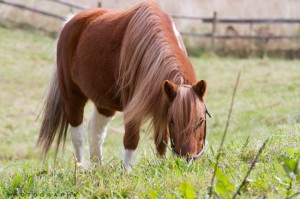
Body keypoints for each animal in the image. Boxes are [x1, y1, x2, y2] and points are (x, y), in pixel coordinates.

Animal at [37, 0, 210, 171]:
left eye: (201, 120)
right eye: (173, 120)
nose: (187, 159)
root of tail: (70, 21)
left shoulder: (161, 103)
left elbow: (161, 140)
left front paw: (162, 165)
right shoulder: (133, 106)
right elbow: (131, 138)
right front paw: (128, 171)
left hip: (104, 104)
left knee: (95, 131)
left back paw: (98, 167)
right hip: (72, 97)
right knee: (77, 134)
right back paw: (81, 168)